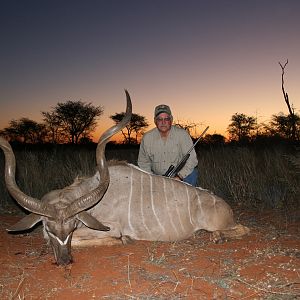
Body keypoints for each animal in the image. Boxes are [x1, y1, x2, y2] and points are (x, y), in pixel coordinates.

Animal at [0, 91, 248, 264]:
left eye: (70, 228)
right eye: (50, 228)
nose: (64, 261)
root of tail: (226, 207)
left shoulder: (107, 227)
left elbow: (96, 237)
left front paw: (124, 239)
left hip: (219, 223)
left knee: (243, 229)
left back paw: (218, 237)